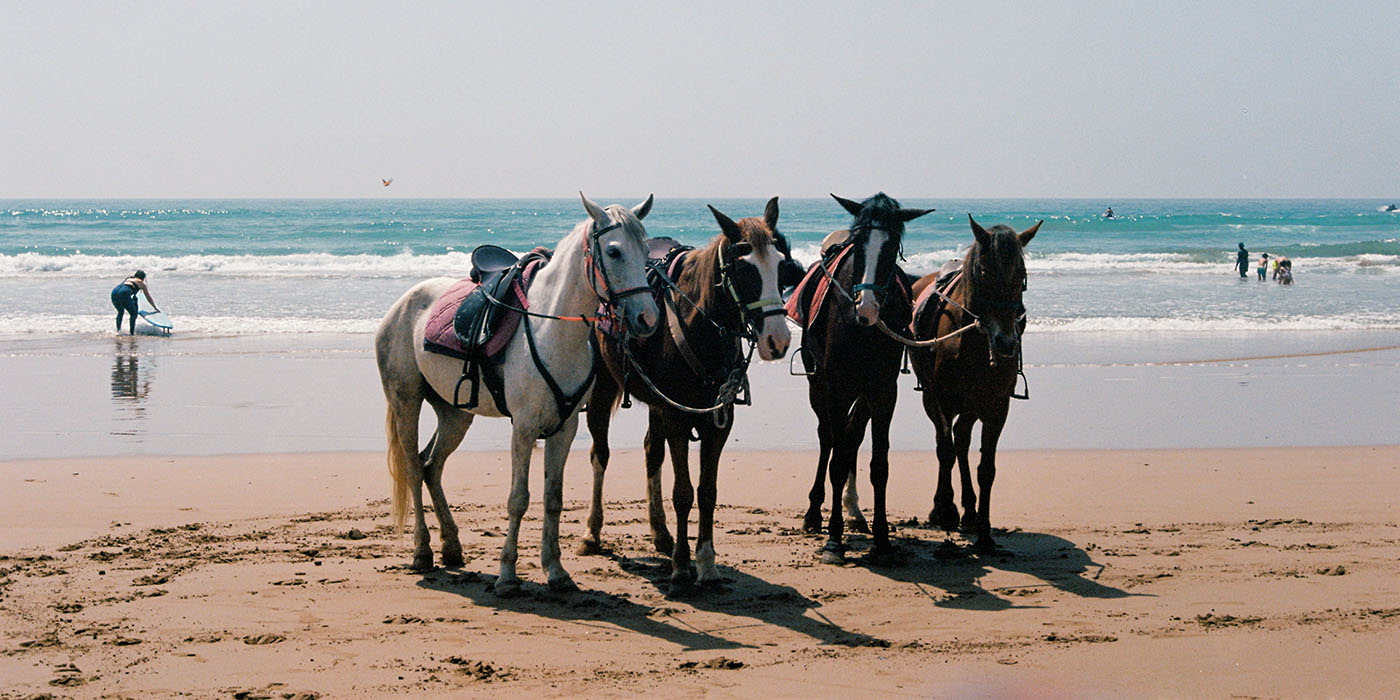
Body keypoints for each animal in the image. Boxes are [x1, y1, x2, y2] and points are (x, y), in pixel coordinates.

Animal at [374, 194, 660, 596]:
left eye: (646, 252)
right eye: (615, 251)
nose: (648, 319)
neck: (551, 330)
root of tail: (401, 306)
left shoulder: (564, 428)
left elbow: (553, 499)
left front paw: (556, 570)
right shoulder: (524, 429)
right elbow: (518, 499)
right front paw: (507, 574)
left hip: (455, 414)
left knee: (431, 466)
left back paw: (451, 546)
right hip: (406, 403)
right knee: (414, 469)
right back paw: (423, 551)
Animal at [580, 197, 795, 596]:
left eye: (780, 265)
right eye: (744, 270)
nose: (778, 339)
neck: (701, 328)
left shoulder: (717, 422)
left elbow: (707, 491)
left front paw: (707, 564)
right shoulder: (678, 419)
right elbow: (683, 492)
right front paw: (681, 568)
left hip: (657, 404)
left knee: (651, 452)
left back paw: (661, 533)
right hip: (604, 391)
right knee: (599, 455)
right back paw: (592, 532)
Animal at [789, 193, 934, 564]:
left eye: (891, 247)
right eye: (858, 244)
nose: (866, 307)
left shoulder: (882, 390)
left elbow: (879, 463)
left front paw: (882, 539)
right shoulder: (836, 386)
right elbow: (837, 459)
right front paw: (833, 541)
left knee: (851, 435)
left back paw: (854, 513)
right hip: (819, 387)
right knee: (828, 438)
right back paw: (814, 514)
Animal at [908, 215, 1041, 552]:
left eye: (1021, 276)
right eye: (984, 273)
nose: (1005, 342)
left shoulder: (996, 408)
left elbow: (986, 469)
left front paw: (984, 531)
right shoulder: (939, 399)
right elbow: (945, 450)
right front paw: (944, 509)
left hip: (971, 406)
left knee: (962, 439)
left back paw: (969, 510)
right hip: (936, 400)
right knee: (948, 442)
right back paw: (950, 508)